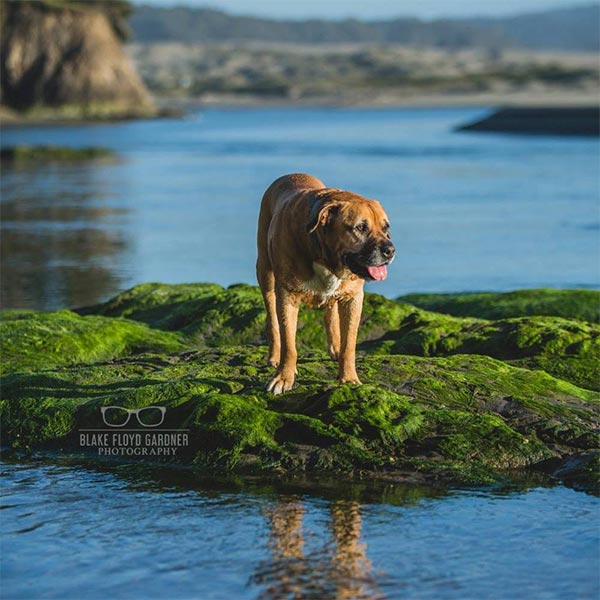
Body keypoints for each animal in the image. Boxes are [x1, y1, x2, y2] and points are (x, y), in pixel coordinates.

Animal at [256, 173, 394, 394]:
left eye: (386, 228)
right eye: (360, 228)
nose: (390, 250)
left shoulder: (353, 298)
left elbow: (349, 344)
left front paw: (348, 377)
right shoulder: (287, 296)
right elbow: (289, 343)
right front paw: (283, 377)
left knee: (331, 313)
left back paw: (335, 347)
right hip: (265, 273)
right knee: (272, 318)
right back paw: (274, 355)